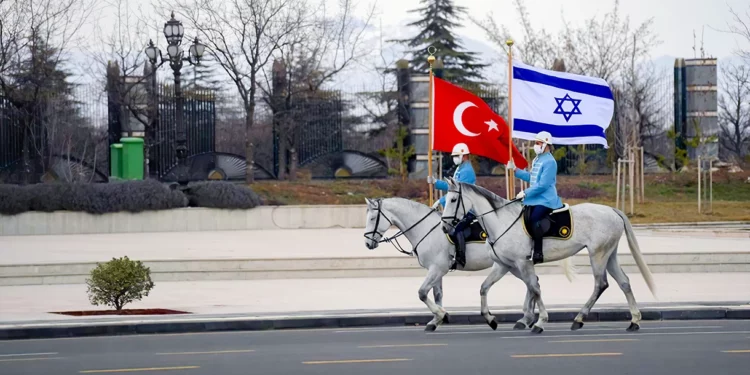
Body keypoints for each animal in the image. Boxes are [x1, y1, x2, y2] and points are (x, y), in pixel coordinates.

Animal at [364, 197, 576, 332]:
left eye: (373, 218)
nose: (367, 243)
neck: (426, 229)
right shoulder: (437, 269)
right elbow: (437, 294)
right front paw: (436, 320)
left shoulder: (437, 268)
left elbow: (423, 293)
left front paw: (441, 315)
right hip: (513, 264)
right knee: (533, 283)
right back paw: (527, 319)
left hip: (514, 263)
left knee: (533, 283)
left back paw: (528, 318)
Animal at [440, 179, 656, 334]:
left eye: (453, 200)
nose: (445, 227)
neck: (501, 221)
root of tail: (612, 210)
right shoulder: (503, 265)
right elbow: (485, 287)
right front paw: (491, 319)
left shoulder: (522, 262)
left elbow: (534, 288)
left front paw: (539, 321)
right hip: (609, 254)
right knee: (624, 282)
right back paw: (634, 321)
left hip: (598, 254)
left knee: (600, 284)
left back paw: (579, 318)